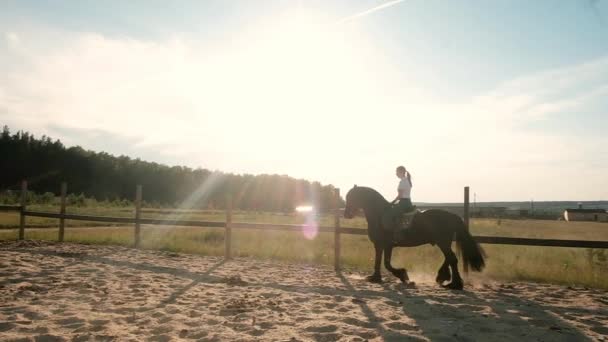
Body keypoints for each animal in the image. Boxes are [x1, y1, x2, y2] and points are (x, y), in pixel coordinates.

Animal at [346, 186, 484, 290]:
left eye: (351, 197)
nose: (347, 214)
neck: (380, 214)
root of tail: (452, 215)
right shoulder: (381, 245)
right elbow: (379, 261)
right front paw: (376, 278)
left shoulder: (385, 245)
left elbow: (386, 263)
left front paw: (402, 275)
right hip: (444, 242)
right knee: (449, 258)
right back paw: (443, 277)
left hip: (443, 242)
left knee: (452, 259)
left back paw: (455, 284)